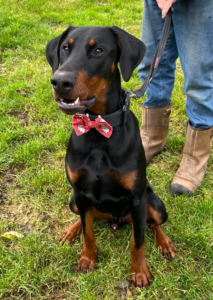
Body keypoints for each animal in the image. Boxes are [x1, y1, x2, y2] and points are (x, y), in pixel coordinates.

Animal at [45, 25, 176, 288]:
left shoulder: (137, 200)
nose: (60, 81)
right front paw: (87, 258)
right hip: (74, 202)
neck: (97, 130)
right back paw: (71, 231)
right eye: (65, 48)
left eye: (98, 50)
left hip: (155, 203)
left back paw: (165, 243)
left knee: (154, 224)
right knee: (85, 218)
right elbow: (88, 233)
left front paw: (139, 272)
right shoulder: (79, 192)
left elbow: (138, 241)